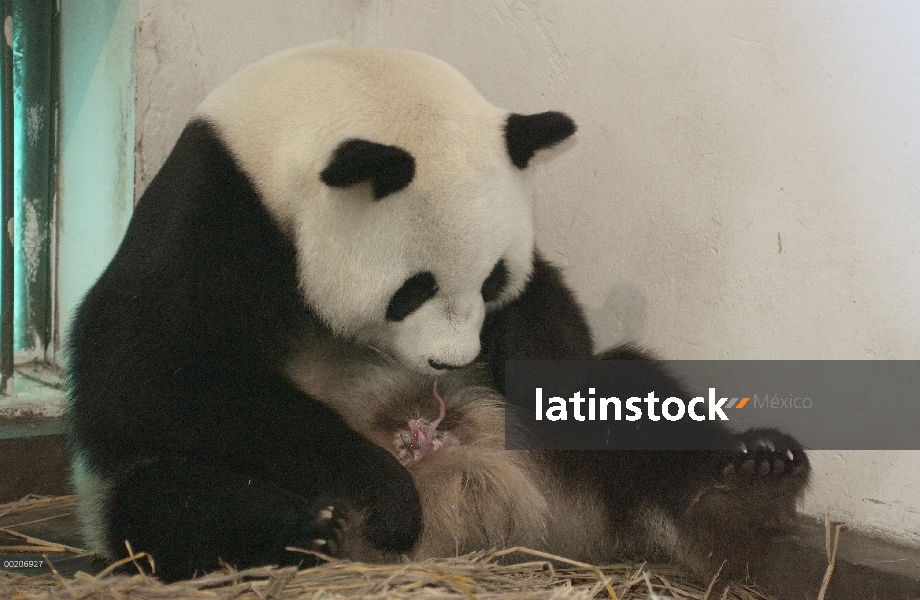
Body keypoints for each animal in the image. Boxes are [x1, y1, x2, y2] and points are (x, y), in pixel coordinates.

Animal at [68, 43, 808, 584]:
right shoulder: (217, 208)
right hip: (147, 492)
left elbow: (551, 320)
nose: (454, 362)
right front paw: (385, 491)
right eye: (411, 290)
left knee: (632, 396)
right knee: (168, 498)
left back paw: (750, 484)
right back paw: (310, 531)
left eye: (492, 278)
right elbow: (144, 375)